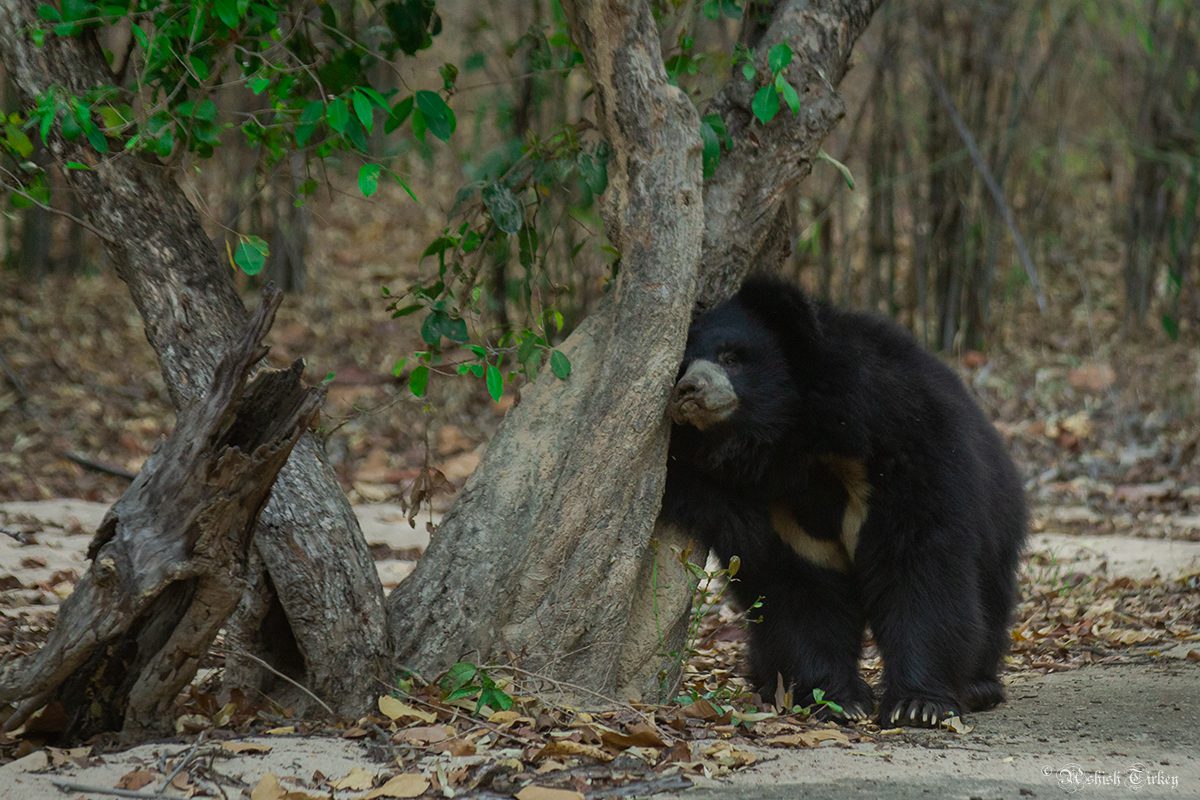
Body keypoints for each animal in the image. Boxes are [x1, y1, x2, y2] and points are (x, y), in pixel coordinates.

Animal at [662, 273, 1027, 724]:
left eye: (732, 357)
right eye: (681, 366)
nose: (689, 389)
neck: (789, 444)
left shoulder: (903, 441)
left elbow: (919, 566)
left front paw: (917, 706)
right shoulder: (773, 511)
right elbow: (799, 592)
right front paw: (839, 702)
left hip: (999, 517)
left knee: (991, 597)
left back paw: (979, 686)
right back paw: (767, 683)